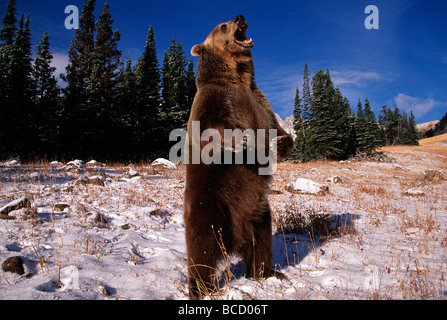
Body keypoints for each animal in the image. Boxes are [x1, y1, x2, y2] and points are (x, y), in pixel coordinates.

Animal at [184, 15, 296, 300]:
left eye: (229, 21)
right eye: (222, 26)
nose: (239, 17)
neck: (237, 75)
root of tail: (236, 235)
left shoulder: (260, 101)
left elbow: (275, 127)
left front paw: (283, 143)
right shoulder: (214, 101)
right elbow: (213, 128)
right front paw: (245, 140)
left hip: (259, 211)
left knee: (262, 244)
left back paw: (268, 273)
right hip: (209, 204)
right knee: (201, 251)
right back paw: (200, 289)